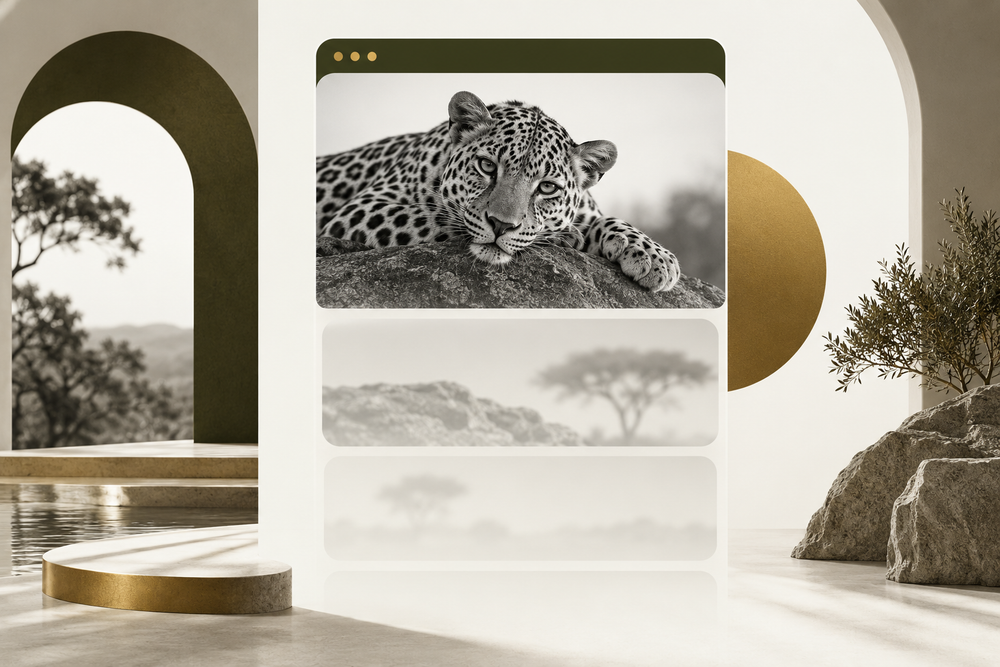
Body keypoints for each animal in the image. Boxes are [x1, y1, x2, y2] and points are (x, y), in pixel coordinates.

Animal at [316, 91, 681, 292]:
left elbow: (610, 221)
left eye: (546, 187)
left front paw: (654, 257)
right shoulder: (362, 208)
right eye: (487, 166)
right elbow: (436, 217)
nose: (502, 225)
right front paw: (565, 237)